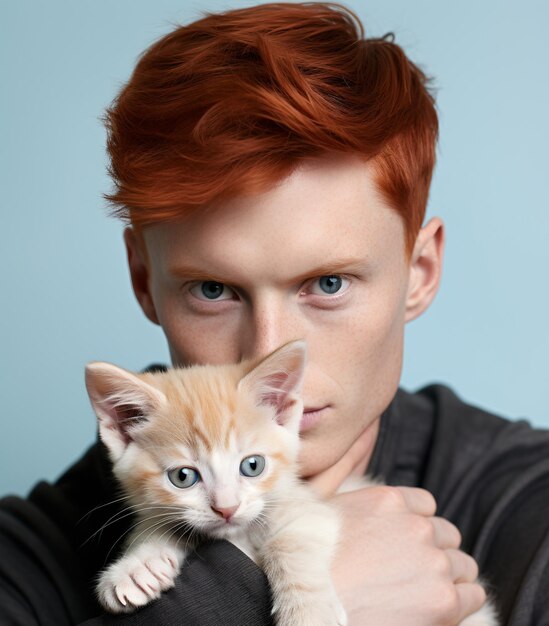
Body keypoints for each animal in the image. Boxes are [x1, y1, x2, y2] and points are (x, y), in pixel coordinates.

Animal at [84, 342, 496, 624]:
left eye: (252, 466)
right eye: (183, 477)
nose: (227, 508)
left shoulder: (309, 510)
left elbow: (289, 543)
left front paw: (309, 614)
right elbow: (165, 525)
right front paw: (137, 566)